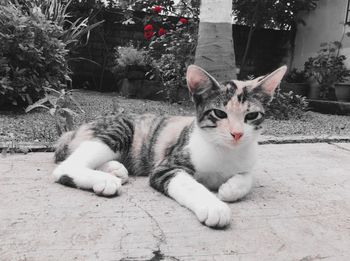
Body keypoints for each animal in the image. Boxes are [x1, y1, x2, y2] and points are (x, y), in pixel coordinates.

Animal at [52, 65, 288, 228]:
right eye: (219, 113)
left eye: (252, 116)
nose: (237, 134)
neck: (225, 152)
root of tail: (75, 130)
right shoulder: (167, 166)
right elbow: (190, 184)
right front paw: (214, 206)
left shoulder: (247, 159)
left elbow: (248, 176)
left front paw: (230, 188)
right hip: (120, 129)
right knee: (66, 165)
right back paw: (105, 179)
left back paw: (115, 169)